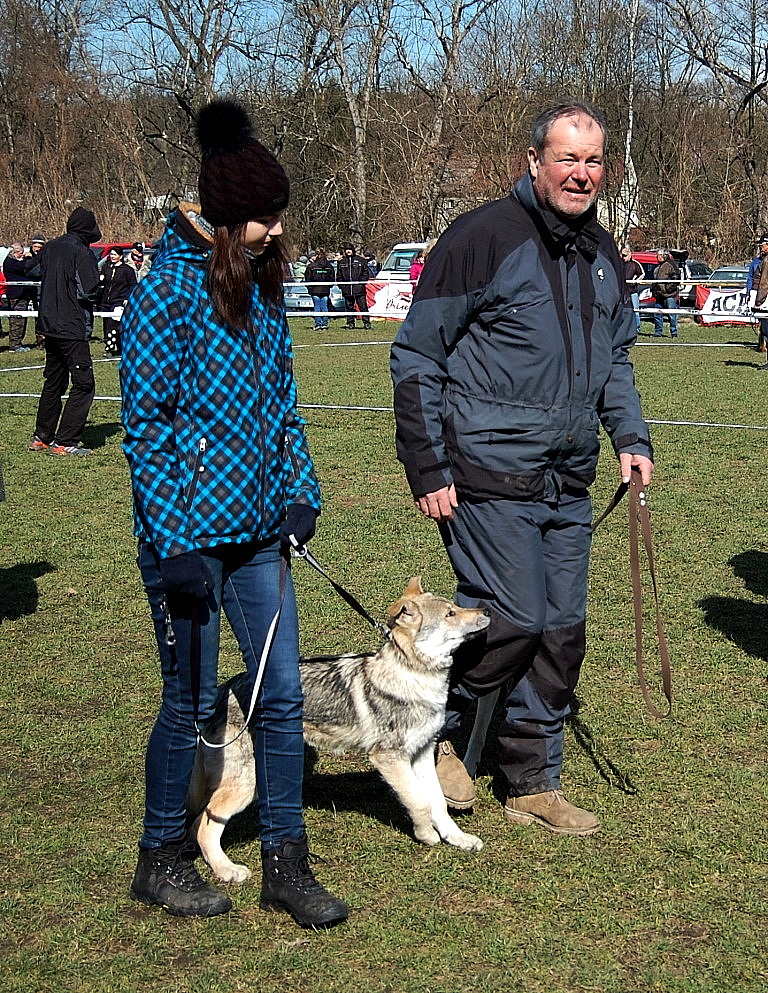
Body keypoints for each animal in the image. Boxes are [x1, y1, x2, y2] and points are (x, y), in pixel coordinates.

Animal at [187, 576, 488, 880]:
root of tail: (221, 693)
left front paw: (458, 838)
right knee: (204, 825)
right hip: (245, 787)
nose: (486, 609)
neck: (413, 678)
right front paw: (426, 835)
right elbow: (419, 801)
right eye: (450, 614)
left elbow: (437, 802)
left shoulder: (423, 752)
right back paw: (227, 870)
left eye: (455, 607)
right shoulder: (390, 758)